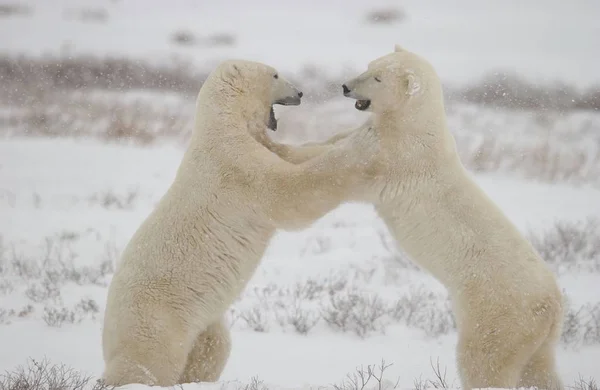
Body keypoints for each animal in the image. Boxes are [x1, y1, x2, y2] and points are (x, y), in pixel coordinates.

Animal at [100, 58, 378, 386]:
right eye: (275, 74)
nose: (299, 92)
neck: (223, 124)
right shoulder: (237, 167)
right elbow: (289, 195)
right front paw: (359, 156)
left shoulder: (261, 146)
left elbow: (297, 153)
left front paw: (352, 134)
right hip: (157, 318)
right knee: (147, 362)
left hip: (205, 320)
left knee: (213, 347)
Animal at [260, 46, 564, 390]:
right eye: (370, 66)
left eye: (378, 78)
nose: (345, 86)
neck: (413, 123)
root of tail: (553, 306)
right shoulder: (374, 133)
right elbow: (330, 144)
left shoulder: (391, 157)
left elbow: (337, 168)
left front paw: (272, 148)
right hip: (538, 338)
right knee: (540, 370)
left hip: (498, 316)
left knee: (484, 362)